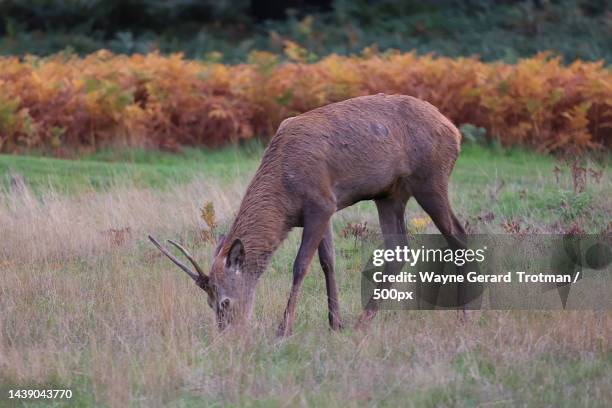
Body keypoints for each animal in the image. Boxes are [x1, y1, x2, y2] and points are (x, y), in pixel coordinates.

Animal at [151, 94, 466, 336]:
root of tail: (455, 131)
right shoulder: (325, 208)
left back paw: (463, 313)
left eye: (225, 302)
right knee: (399, 249)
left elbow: (301, 265)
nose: (227, 334)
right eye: (208, 302)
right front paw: (335, 323)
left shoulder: (320, 203)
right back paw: (362, 323)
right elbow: (328, 261)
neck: (286, 197)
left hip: (430, 178)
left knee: (458, 235)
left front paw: (283, 329)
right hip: (389, 194)